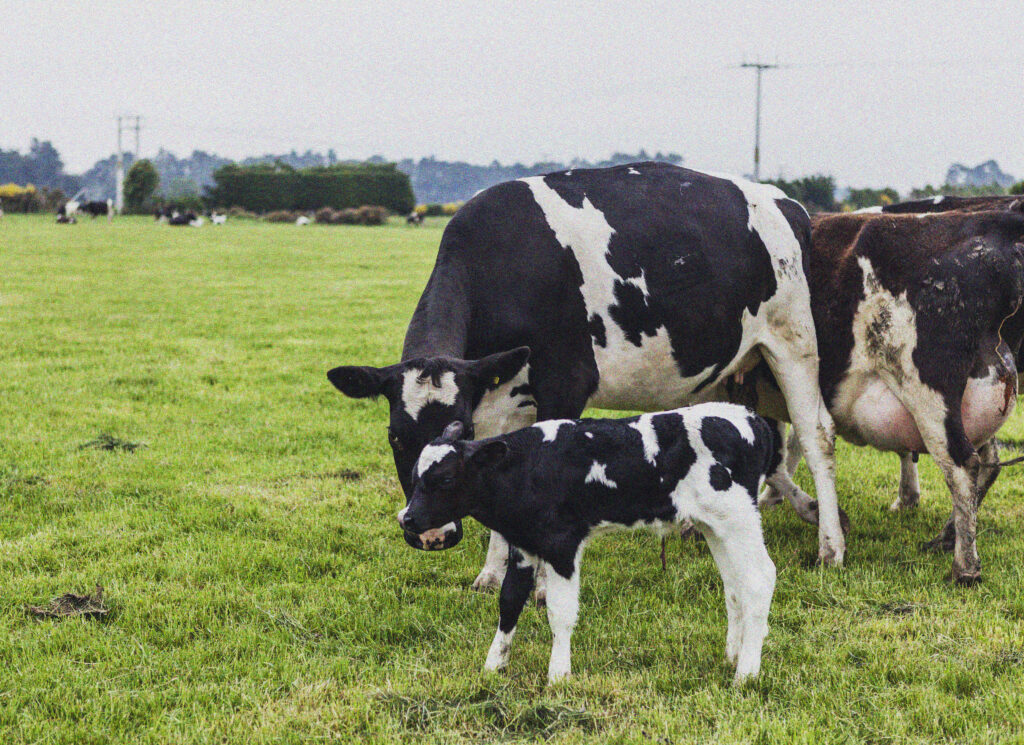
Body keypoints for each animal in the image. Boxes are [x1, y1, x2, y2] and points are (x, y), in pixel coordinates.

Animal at [327, 163, 846, 599]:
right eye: (396, 438)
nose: (432, 535)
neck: (503, 259)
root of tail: (787, 203)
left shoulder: (564, 383)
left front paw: (541, 586)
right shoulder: (497, 397)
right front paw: (493, 574)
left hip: (791, 339)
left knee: (815, 433)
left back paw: (831, 543)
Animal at [401, 403, 781, 684]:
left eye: (445, 479)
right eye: (415, 476)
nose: (407, 519)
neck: (530, 466)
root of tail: (751, 417)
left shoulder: (562, 544)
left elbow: (560, 611)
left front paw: (558, 675)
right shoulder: (524, 543)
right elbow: (509, 601)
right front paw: (493, 666)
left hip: (739, 518)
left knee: (759, 579)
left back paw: (746, 674)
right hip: (716, 526)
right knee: (734, 586)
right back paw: (732, 656)